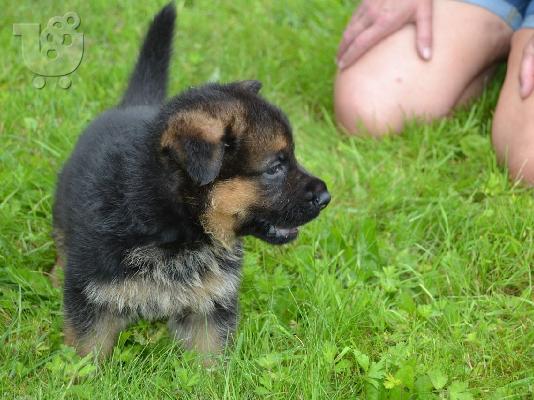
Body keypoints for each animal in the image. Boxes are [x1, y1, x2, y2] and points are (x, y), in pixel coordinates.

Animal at [53, 3, 330, 360]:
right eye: (275, 168)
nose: (325, 197)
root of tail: (132, 105)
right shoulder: (92, 293)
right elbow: (87, 351)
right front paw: (78, 373)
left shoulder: (209, 305)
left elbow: (209, 357)